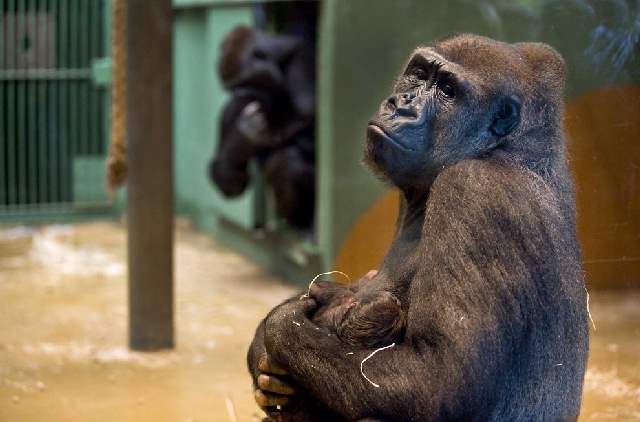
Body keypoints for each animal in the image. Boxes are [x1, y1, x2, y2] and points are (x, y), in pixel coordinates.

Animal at [248, 33, 588, 422]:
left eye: (448, 90)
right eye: (420, 73)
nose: (400, 105)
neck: (512, 147)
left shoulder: (473, 190)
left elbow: (435, 378)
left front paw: (282, 324)